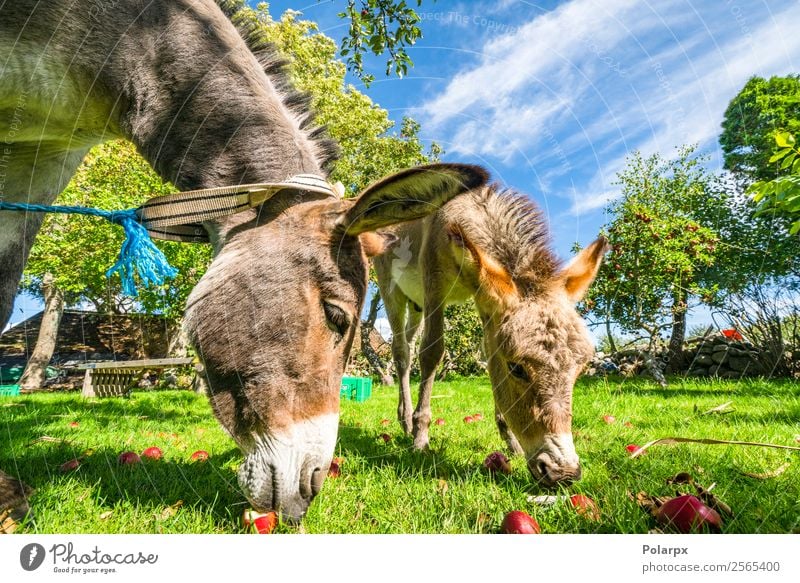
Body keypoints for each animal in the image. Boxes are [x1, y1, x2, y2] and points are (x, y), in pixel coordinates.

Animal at [376, 186, 608, 484]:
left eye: (579, 369)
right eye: (517, 368)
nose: (563, 472)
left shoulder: (483, 300)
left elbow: (488, 357)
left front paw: (511, 440)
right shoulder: (434, 286)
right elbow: (432, 352)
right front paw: (421, 436)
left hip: (416, 304)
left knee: (408, 340)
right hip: (392, 289)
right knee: (402, 351)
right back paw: (406, 421)